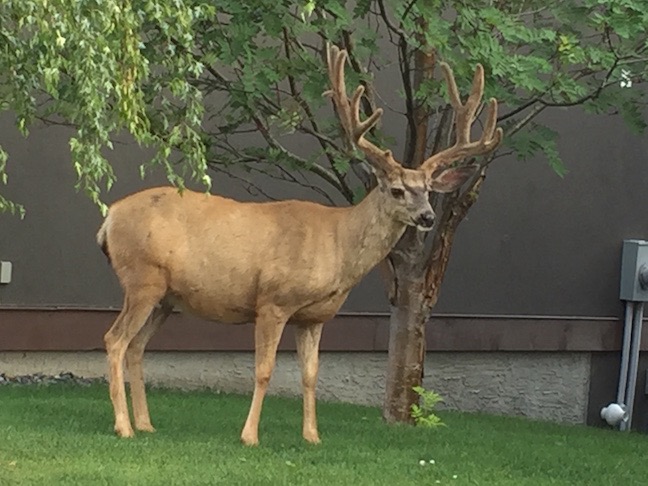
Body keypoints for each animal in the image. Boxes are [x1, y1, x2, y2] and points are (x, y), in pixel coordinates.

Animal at [97, 47, 502, 446]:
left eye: (429, 190)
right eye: (397, 190)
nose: (428, 217)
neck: (337, 244)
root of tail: (109, 218)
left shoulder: (314, 317)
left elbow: (310, 375)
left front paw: (312, 436)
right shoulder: (273, 301)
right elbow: (264, 369)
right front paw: (249, 436)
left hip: (166, 297)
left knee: (136, 346)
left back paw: (145, 424)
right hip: (142, 279)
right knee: (115, 340)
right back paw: (123, 426)